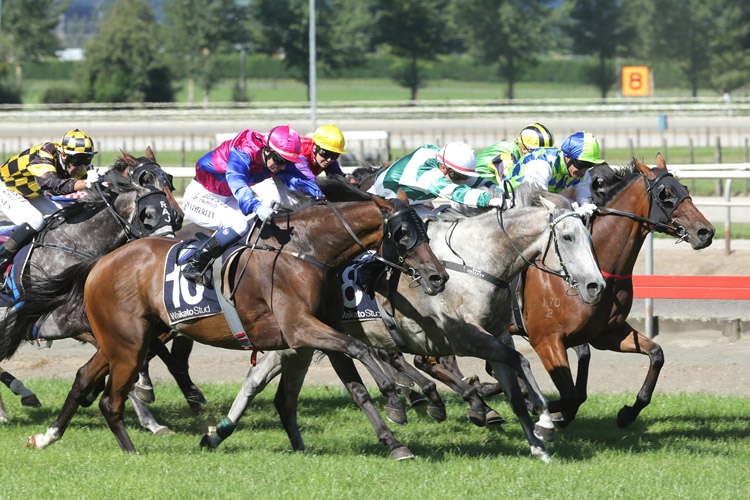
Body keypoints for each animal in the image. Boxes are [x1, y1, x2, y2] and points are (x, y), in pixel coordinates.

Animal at [20, 178, 450, 458]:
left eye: (425, 231)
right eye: (403, 234)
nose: (437, 277)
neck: (307, 251)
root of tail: (100, 262)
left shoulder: (313, 334)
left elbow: (355, 386)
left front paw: (394, 442)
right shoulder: (301, 328)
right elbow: (361, 349)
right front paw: (396, 396)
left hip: (122, 340)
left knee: (82, 379)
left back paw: (48, 436)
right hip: (129, 344)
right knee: (111, 400)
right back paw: (132, 452)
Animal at [198, 186, 604, 462]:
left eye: (590, 235)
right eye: (568, 237)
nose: (595, 285)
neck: (476, 263)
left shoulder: (496, 333)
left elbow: (515, 384)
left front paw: (537, 443)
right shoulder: (464, 335)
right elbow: (516, 363)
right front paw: (544, 422)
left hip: (298, 337)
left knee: (260, 378)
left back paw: (218, 434)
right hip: (306, 330)